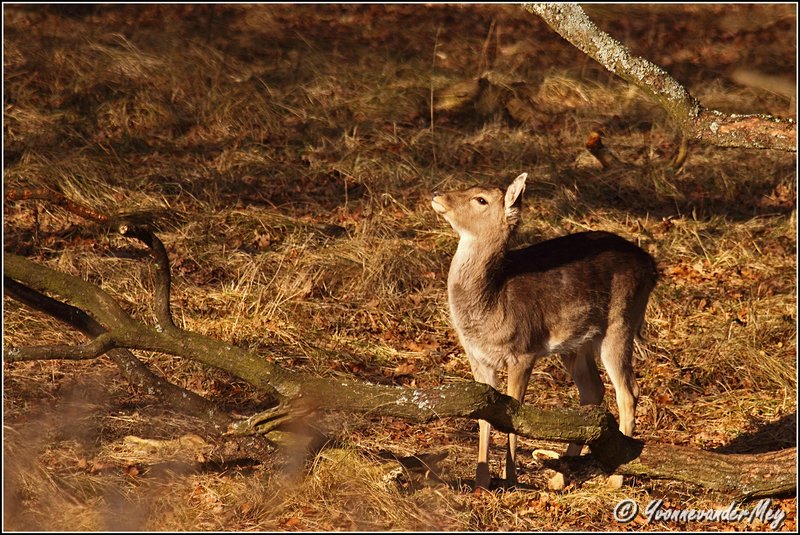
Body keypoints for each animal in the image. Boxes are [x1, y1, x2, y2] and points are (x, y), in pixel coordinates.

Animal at [432, 174, 656, 492]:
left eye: (480, 199)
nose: (438, 194)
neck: (493, 302)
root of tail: (652, 267)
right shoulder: (478, 358)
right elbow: (483, 415)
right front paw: (481, 481)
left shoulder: (523, 352)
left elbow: (514, 413)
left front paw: (510, 479)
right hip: (577, 344)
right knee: (593, 390)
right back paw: (560, 476)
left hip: (621, 322)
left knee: (628, 391)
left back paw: (615, 479)